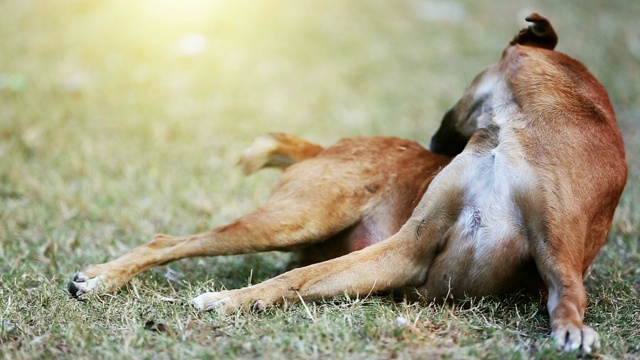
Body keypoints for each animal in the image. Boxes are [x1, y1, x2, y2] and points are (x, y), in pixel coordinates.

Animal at [69, 14, 624, 354]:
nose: (434, 143)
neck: (515, 133)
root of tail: (323, 147)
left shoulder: (553, 258)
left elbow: (567, 294)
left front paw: (572, 329)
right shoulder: (407, 248)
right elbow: (294, 279)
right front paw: (227, 300)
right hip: (296, 218)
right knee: (171, 241)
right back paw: (101, 279)